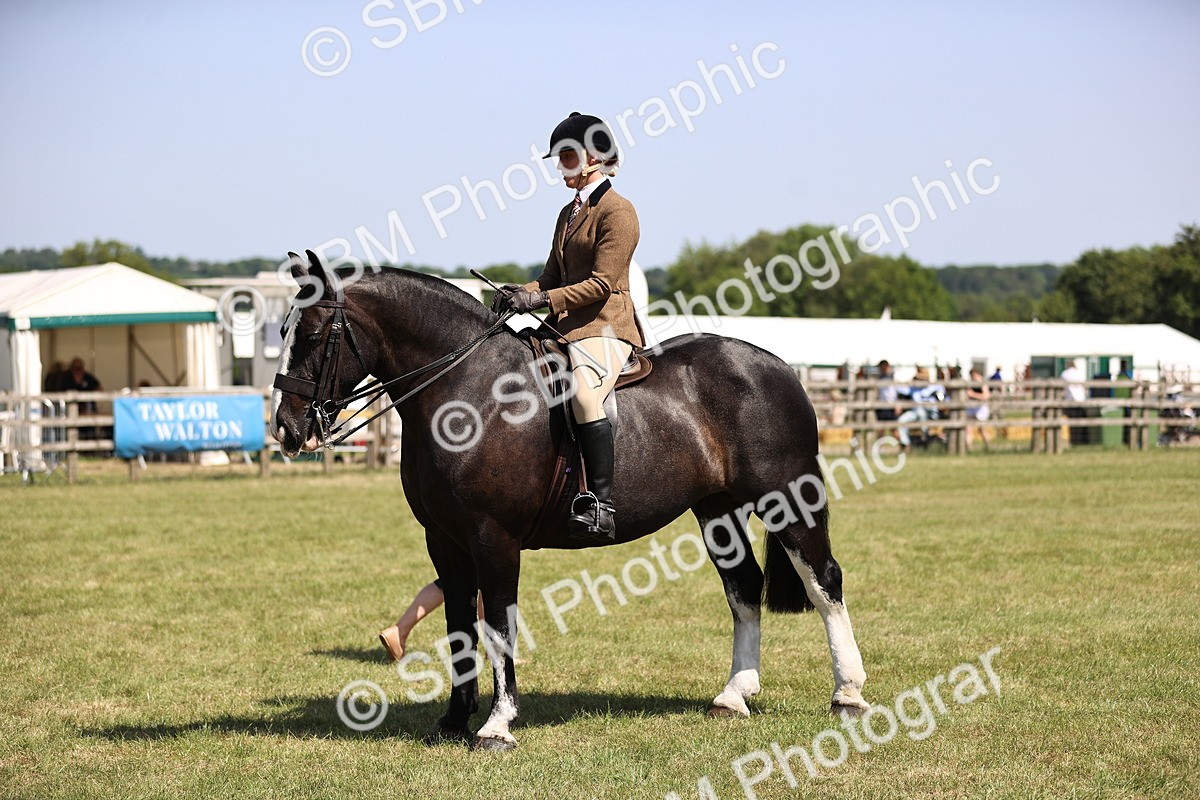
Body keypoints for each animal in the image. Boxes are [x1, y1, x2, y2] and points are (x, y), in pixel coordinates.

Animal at [270, 251, 870, 751]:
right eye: (282, 330)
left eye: (315, 333)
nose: (286, 430)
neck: (467, 391)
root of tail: (778, 367)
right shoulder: (444, 542)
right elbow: (460, 626)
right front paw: (452, 721)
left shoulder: (493, 539)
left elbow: (498, 626)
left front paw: (497, 725)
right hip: (716, 508)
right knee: (744, 587)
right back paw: (733, 695)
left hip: (785, 498)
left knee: (824, 580)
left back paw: (848, 694)